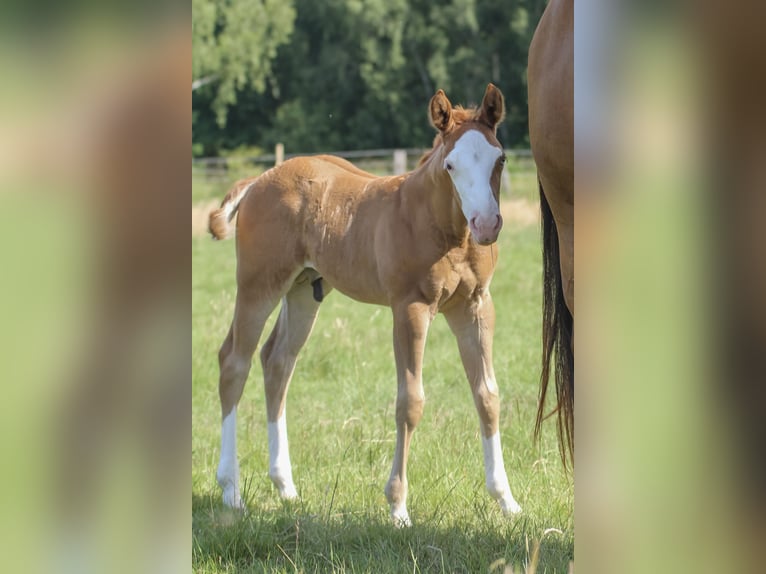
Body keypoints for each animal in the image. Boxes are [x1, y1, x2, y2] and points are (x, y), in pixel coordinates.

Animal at [208, 83, 523, 525]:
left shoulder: (475, 306)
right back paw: (231, 491)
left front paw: (506, 499)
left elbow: (488, 396)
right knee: (234, 362)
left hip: (303, 290)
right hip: (258, 285)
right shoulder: (409, 308)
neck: (447, 231)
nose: (487, 224)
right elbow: (410, 402)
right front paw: (398, 507)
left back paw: (285, 486)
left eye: (500, 159)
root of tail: (259, 181)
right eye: (451, 165)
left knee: (277, 361)